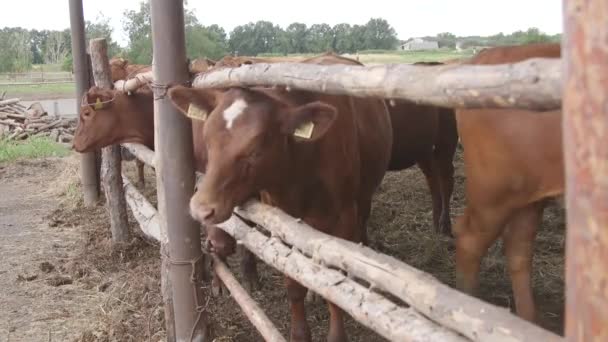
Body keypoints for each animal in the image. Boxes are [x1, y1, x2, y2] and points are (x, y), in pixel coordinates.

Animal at [169, 54, 392, 340]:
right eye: (207, 140)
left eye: (255, 149)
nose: (201, 208)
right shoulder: (283, 224)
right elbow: (293, 284)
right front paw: (300, 331)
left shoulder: (343, 219)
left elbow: (335, 292)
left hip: (362, 199)